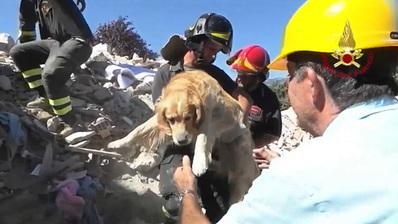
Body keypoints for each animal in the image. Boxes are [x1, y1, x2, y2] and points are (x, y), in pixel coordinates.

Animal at [107, 71, 260, 201]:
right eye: (171, 119)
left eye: (188, 117)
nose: (182, 141)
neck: (188, 86)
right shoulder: (159, 119)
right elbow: (138, 129)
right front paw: (118, 143)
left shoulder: (211, 119)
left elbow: (202, 138)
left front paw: (199, 163)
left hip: (240, 169)